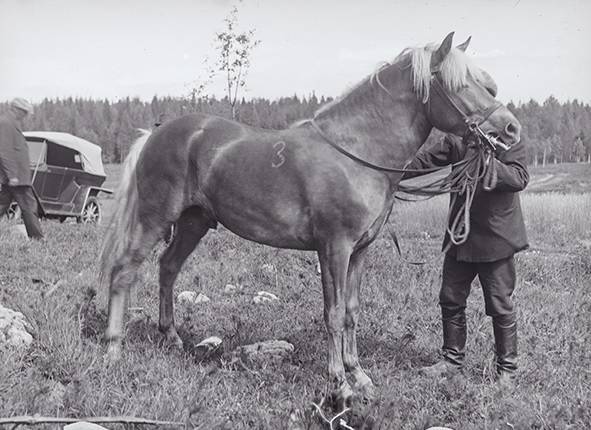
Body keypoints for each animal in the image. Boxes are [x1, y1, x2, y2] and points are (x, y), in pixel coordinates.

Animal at [102, 33, 524, 406]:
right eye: (461, 85)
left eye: (486, 84)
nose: (511, 128)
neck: (357, 153)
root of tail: (156, 134)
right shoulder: (334, 248)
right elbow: (333, 314)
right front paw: (339, 384)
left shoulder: (360, 251)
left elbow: (352, 312)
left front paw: (359, 376)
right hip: (155, 217)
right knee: (125, 271)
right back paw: (113, 349)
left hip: (194, 223)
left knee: (168, 268)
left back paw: (171, 338)